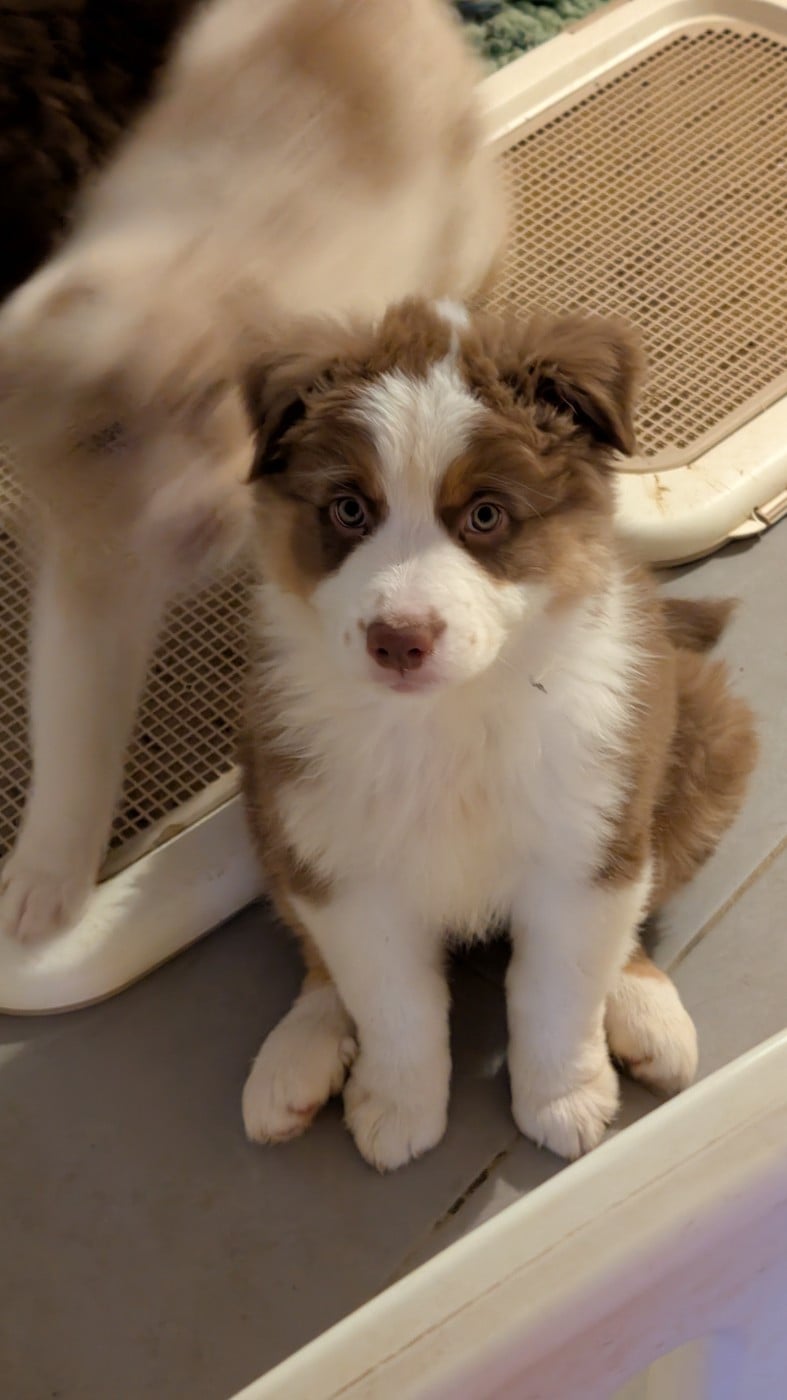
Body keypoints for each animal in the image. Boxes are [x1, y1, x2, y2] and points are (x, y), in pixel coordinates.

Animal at [0, 0, 505, 942]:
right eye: (100, 438)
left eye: (205, 398)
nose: (199, 525)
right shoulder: (94, 568)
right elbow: (74, 720)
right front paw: (43, 876)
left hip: (464, 211)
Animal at [238, 297, 757, 1170]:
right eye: (349, 509)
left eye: (484, 515)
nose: (397, 641)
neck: (448, 719)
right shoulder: (346, 868)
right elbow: (391, 1002)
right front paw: (397, 1106)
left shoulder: (580, 852)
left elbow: (557, 989)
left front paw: (563, 1099)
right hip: (272, 812)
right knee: (315, 956)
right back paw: (294, 1057)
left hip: (696, 748)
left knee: (639, 902)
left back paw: (645, 1010)